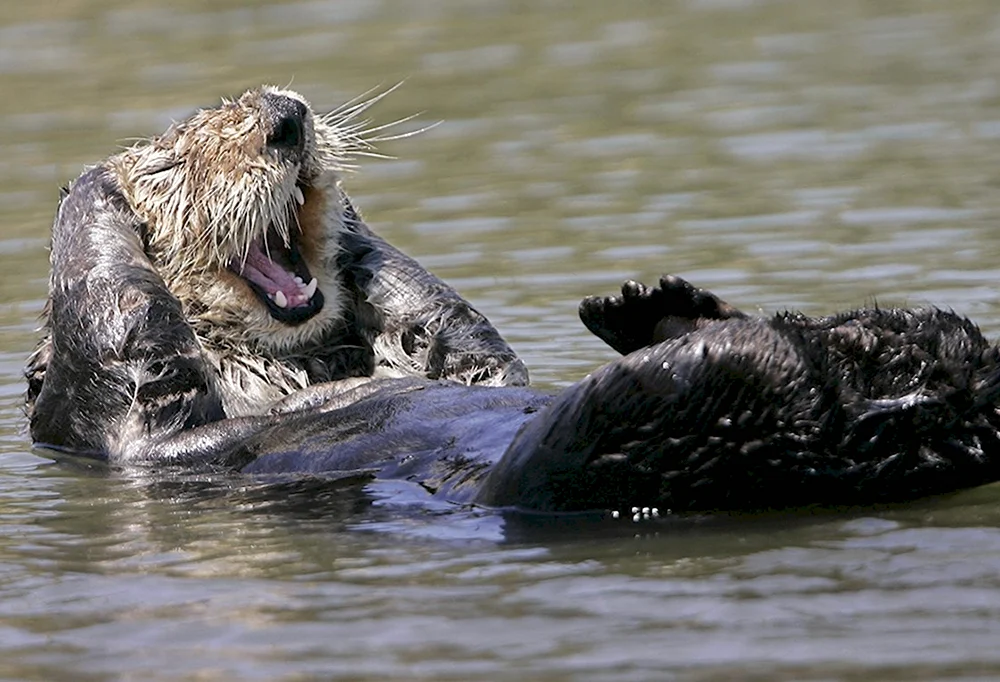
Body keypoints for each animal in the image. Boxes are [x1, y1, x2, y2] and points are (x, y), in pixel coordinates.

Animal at [23, 85, 1000, 510]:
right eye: (176, 165)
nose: (286, 118)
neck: (279, 365)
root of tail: (918, 420)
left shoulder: (468, 356)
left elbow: (456, 335)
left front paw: (358, 239)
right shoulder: (127, 422)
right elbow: (120, 332)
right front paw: (93, 191)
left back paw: (659, 307)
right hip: (614, 449)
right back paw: (706, 336)